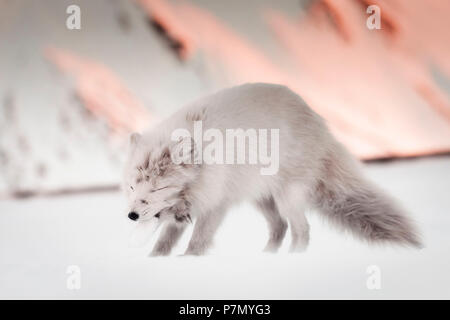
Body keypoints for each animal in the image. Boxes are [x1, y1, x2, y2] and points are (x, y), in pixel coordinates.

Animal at [122, 84, 422, 256]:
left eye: (157, 188)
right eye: (133, 186)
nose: (132, 215)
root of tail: (320, 124)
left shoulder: (216, 203)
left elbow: (198, 241)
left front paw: (189, 261)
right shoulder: (184, 211)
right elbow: (163, 243)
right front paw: (155, 261)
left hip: (285, 198)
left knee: (301, 229)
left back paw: (292, 260)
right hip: (263, 199)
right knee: (280, 226)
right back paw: (267, 257)